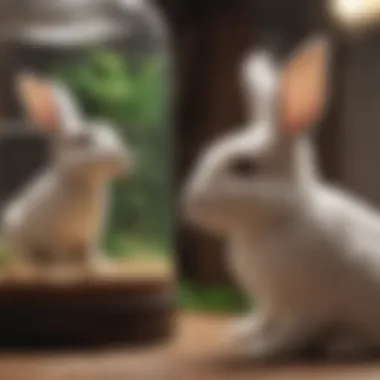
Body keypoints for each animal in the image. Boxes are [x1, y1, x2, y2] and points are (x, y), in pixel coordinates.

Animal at [1, 73, 132, 274]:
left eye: (115, 134)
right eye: (83, 139)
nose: (122, 158)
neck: (87, 183)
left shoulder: (92, 235)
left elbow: (92, 252)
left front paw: (104, 267)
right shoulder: (53, 235)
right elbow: (58, 254)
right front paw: (63, 269)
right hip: (13, 231)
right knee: (22, 255)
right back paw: (32, 265)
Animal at [183, 37, 380, 360]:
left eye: (245, 167)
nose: (191, 203)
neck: (279, 218)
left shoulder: (306, 306)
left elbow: (290, 334)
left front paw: (260, 351)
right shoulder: (269, 303)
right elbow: (263, 318)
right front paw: (243, 331)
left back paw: (343, 345)